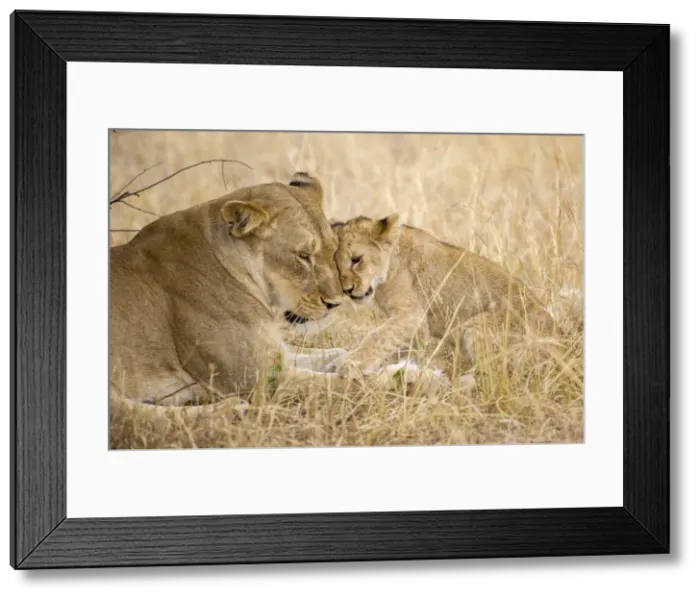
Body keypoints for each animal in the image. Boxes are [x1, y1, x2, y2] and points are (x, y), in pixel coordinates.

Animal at [110, 172, 355, 431]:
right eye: (303, 256)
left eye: (334, 249)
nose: (336, 302)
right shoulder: (257, 380)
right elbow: (344, 384)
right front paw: (365, 375)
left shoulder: (276, 356)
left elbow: (338, 352)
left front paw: (350, 363)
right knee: (133, 417)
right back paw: (232, 411)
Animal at [329, 213, 563, 383]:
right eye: (336, 266)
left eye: (356, 259)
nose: (347, 290)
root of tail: (563, 345)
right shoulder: (410, 327)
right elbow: (391, 344)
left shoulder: (412, 316)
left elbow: (377, 336)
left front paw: (349, 365)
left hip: (477, 325)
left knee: (496, 375)